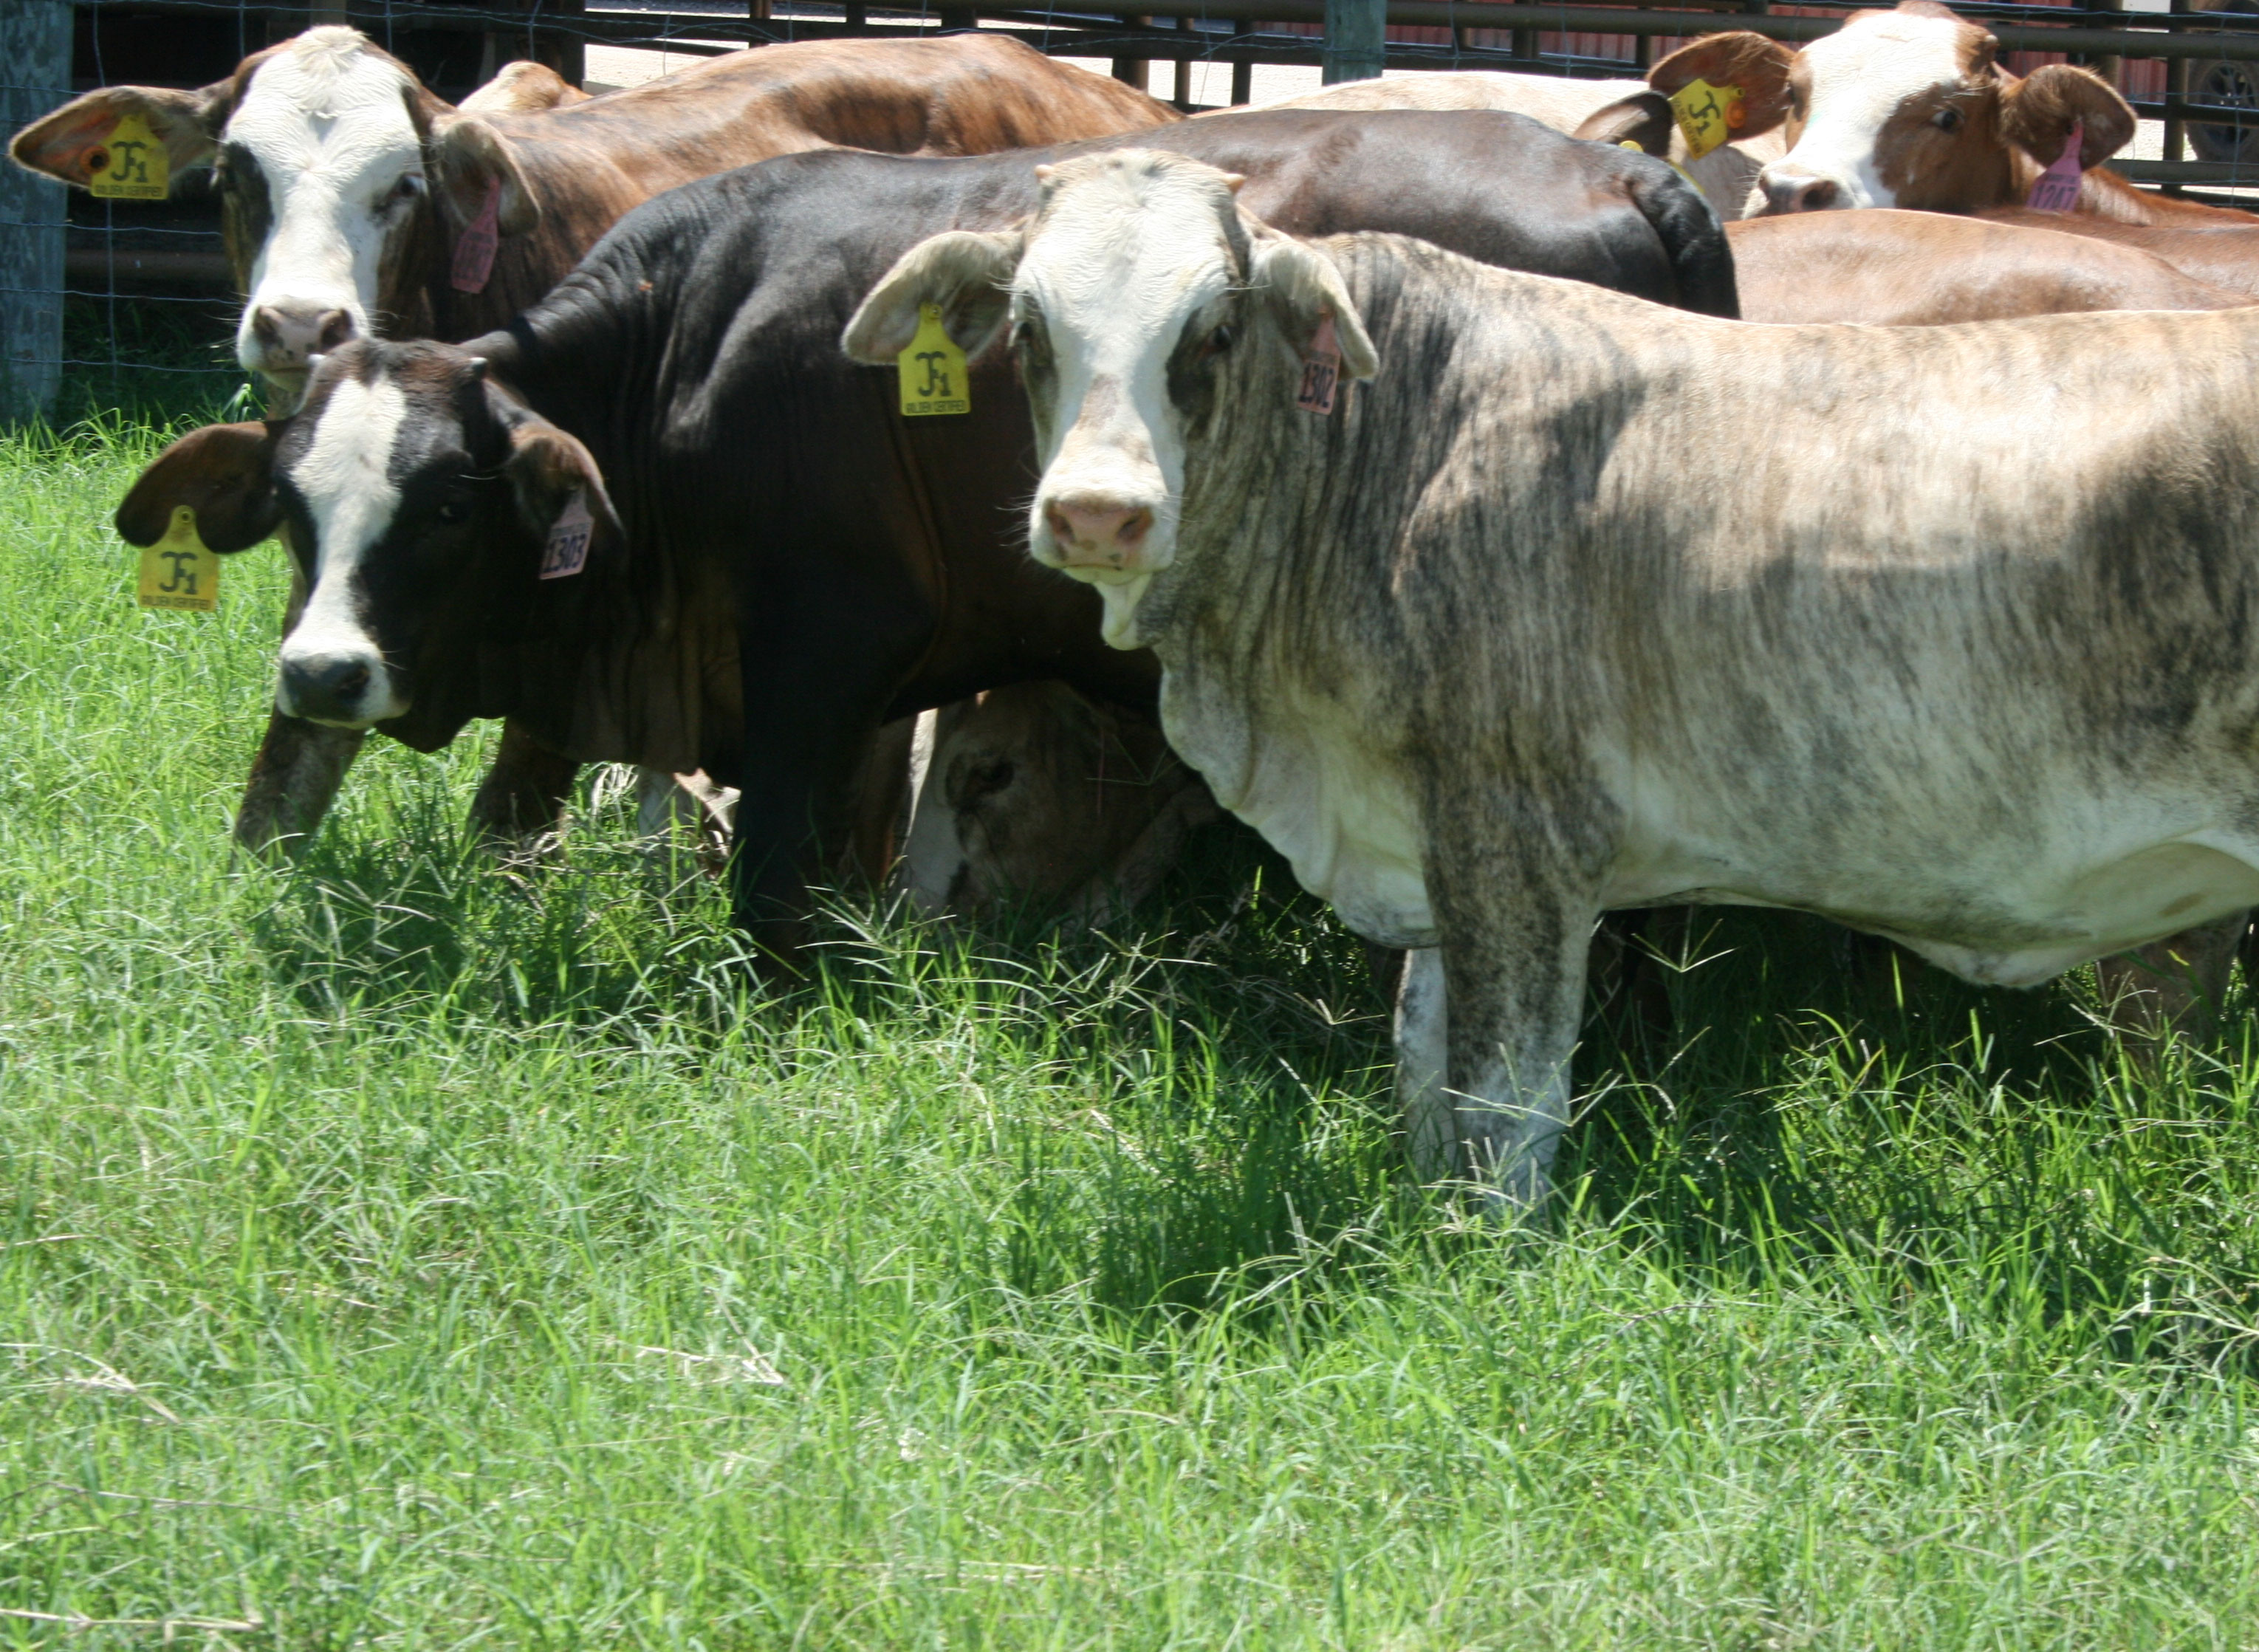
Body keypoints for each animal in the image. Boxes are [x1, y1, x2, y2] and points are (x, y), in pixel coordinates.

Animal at [12, 27, 1175, 858]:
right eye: (232, 174)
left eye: (402, 184)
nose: (301, 325)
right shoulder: (344, 585)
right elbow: (282, 787)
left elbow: (509, 811)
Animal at [112, 109, 1736, 967]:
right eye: (293, 513)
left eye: (448, 503)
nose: (320, 674)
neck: (685, 336)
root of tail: (1619, 169)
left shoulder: (811, 658)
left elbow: (773, 878)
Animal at [850, 148, 2259, 1205]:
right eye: (1027, 326)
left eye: (1211, 324)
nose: (1097, 512)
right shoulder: (1428, 846)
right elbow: (1425, 1079)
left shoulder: (1514, 837)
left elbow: (1500, 1114)